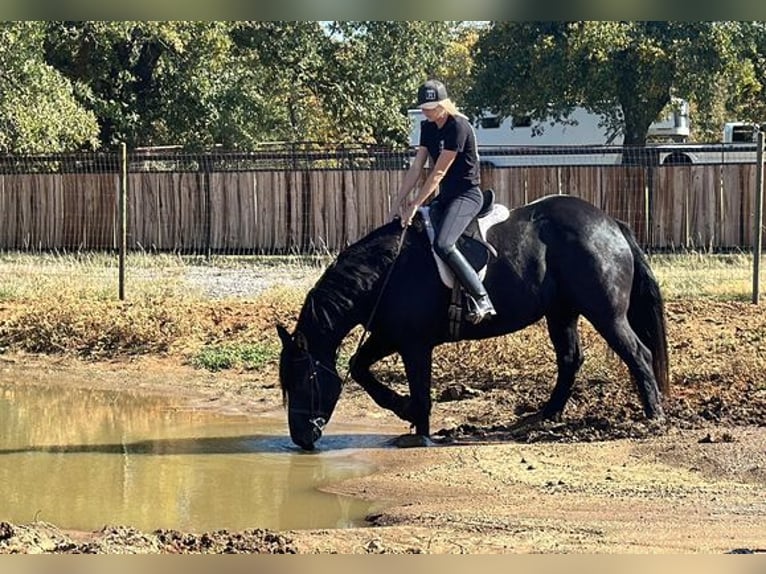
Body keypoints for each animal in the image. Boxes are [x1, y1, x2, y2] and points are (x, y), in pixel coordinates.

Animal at [280, 196, 668, 452]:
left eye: (304, 379)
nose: (301, 437)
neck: (386, 271)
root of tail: (611, 224)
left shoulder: (414, 344)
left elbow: (420, 387)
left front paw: (419, 430)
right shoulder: (389, 335)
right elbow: (360, 366)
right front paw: (404, 409)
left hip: (606, 314)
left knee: (638, 354)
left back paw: (653, 416)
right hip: (561, 313)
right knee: (570, 360)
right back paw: (545, 415)